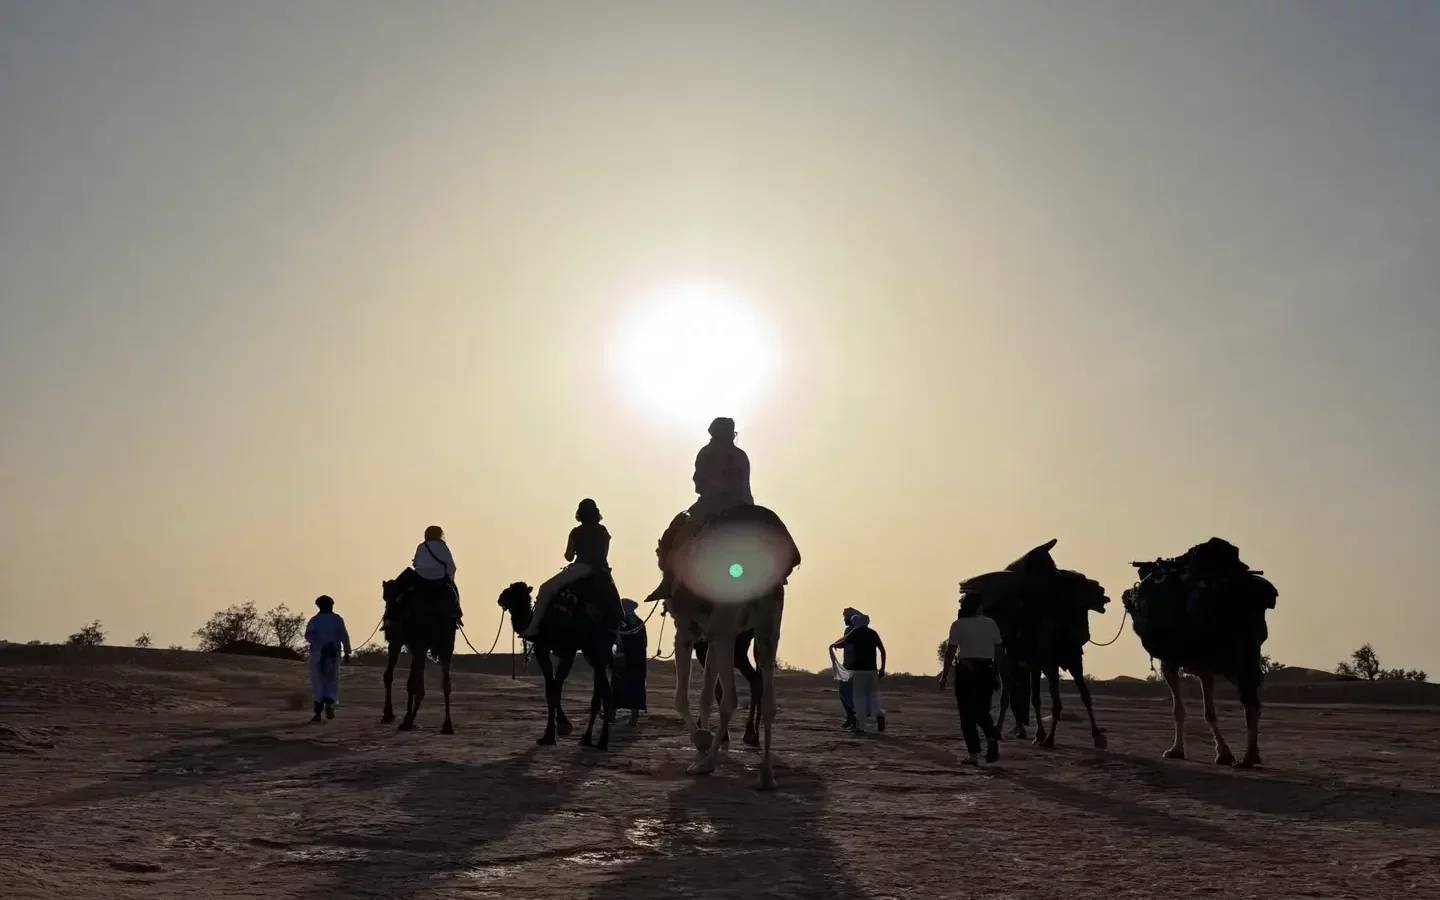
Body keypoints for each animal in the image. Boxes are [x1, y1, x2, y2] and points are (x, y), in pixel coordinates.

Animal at [380, 573, 457, 734]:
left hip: (420, 641)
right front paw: (402, 715)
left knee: (421, 687)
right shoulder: (413, 645)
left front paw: (388, 714)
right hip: (446, 642)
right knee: (446, 683)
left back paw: (408, 723)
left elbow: (389, 675)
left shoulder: (397, 641)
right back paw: (447, 725)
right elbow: (410, 681)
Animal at [498, 578, 616, 748]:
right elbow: (554, 687)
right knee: (601, 690)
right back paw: (588, 739)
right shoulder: (558, 651)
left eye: (512, 590)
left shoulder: (552, 649)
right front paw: (557, 729)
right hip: (596, 655)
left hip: (595, 651)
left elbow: (552, 689)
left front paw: (555, 731)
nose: (500, 598)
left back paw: (602, 741)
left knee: (605, 691)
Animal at [653, 506, 800, 783]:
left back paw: (710, 762)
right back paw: (766, 774)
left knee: (731, 699)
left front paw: (701, 742)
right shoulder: (711, 638)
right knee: (767, 696)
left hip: (727, 627)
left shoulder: (687, 632)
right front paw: (701, 747)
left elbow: (682, 699)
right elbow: (705, 695)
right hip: (767, 625)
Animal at [967, 541, 1111, 748]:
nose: (1102, 591)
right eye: (1082, 582)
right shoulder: (1040, 663)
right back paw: (1009, 730)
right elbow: (1037, 700)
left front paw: (1097, 735)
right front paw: (1044, 737)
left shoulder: (1070, 660)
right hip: (1014, 662)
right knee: (1011, 696)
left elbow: (1084, 696)